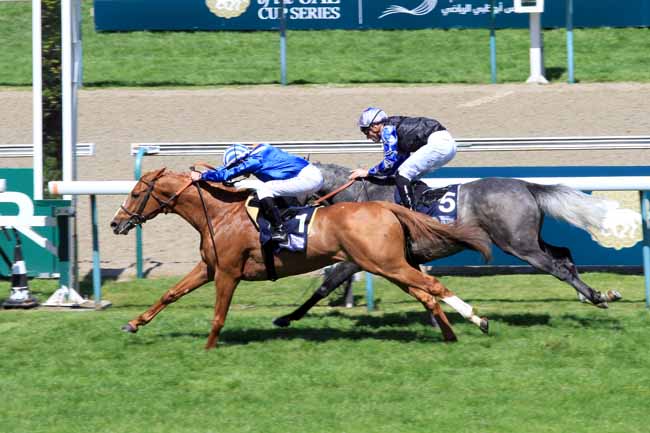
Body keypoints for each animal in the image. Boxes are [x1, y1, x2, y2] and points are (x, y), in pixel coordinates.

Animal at [110, 167, 493, 349]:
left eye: (137, 193)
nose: (116, 222)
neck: (220, 213)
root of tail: (385, 205)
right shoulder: (209, 266)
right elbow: (170, 293)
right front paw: (133, 323)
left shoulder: (228, 272)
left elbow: (218, 315)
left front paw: (208, 347)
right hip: (389, 266)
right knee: (426, 294)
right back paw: (449, 335)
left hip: (386, 264)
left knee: (433, 286)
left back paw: (478, 320)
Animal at [272, 162, 627, 328]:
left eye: (284, 191)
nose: (280, 221)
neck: (361, 198)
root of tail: (526, 185)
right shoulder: (406, 257)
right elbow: (425, 290)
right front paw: (438, 321)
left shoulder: (359, 258)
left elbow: (324, 286)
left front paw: (287, 318)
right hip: (528, 238)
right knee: (563, 255)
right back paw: (598, 295)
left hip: (518, 245)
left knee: (557, 267)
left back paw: (597, 297)